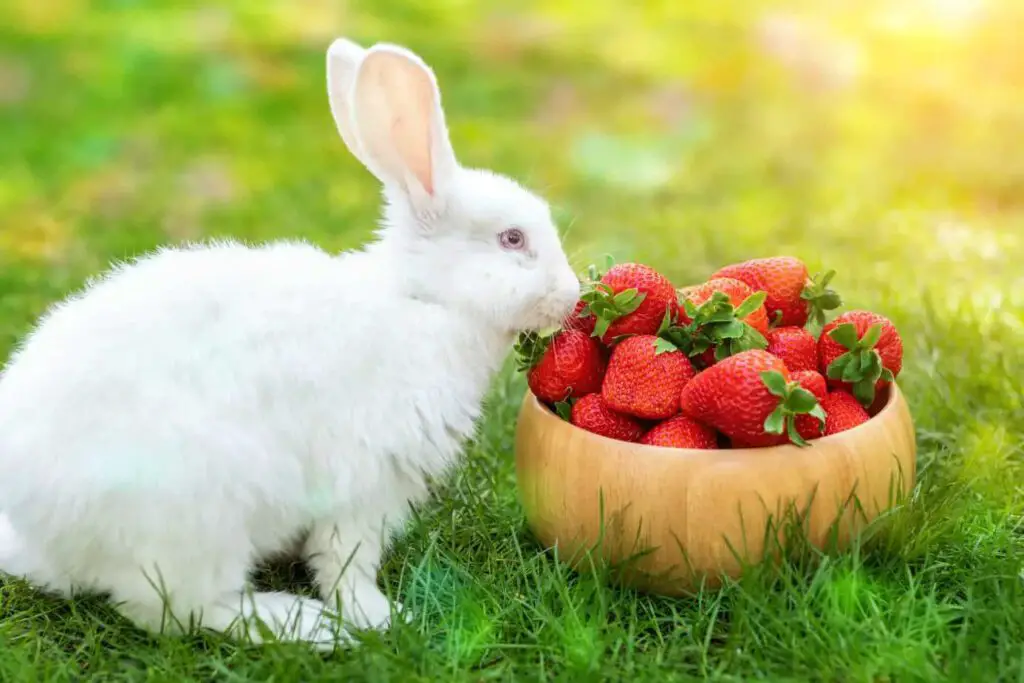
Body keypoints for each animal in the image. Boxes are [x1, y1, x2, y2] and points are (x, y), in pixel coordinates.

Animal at [0, 37, 581, 650]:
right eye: (512, 239)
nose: (571, 295)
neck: (424, 302)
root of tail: (42, 537)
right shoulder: (367, 483)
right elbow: (345, 563)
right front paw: (381, 616)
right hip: (200, 520)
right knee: (179, 610)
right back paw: (305, 624)